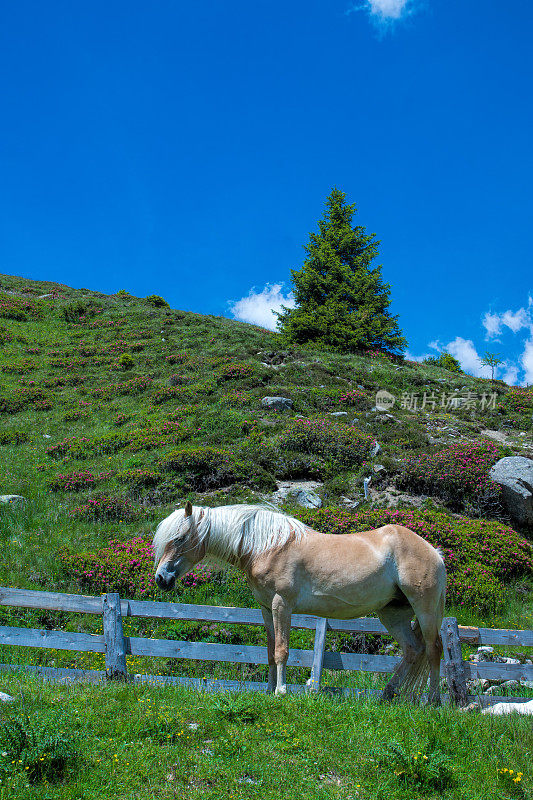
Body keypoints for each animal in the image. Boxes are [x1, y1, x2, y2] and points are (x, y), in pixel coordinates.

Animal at [154, 504, 444, 704]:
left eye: (180, 538)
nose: (161, 579)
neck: (266, 546)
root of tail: (434, 552)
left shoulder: (282, 605)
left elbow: (282, 650)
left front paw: (281, 691)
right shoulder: (265, 609)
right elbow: (270, 651)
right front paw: (269, 689)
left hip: (426, 609)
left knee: (433, 651)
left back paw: (433, 702)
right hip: (392, 614)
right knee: (412, 651)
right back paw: (386, 695)